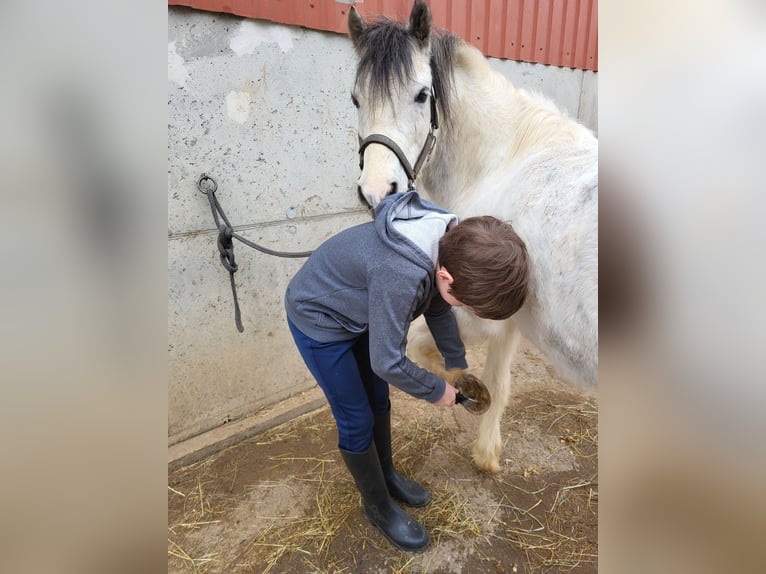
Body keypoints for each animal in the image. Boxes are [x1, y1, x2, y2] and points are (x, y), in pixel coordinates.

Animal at [347, 0, 598, 473]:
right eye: (355, 99)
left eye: (421, 95)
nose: (376, 192)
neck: (506, 158)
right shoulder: (512, 321)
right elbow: (498, 384)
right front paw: (488, 450)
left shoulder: (477, 314)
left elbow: (424, 350)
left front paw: (467, 393)